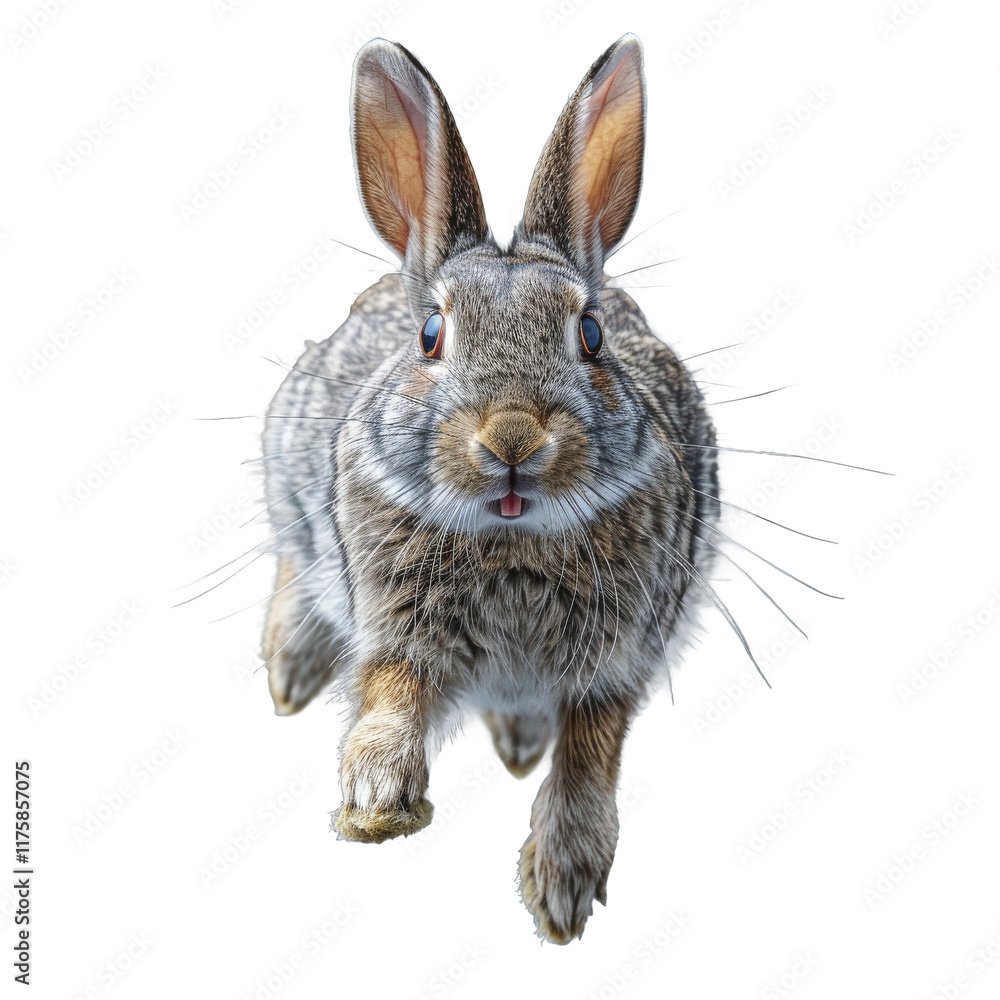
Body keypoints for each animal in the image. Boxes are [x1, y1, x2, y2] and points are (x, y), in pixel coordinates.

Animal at [259, 33, 720, 944]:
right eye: (431, 335)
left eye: (591, 335)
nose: (512, 438)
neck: (511, 537)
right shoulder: (394, 617)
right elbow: (392, 691)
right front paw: (376, 801)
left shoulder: (619, 651)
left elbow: (590, 747)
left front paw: (563, 885)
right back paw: (288, 672)